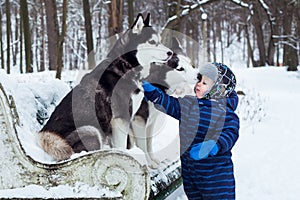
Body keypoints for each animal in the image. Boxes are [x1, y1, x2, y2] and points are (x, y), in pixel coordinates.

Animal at [37, 12, 173, 161]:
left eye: (160, 40)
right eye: (152, 42)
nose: (170, 53)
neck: (125, 66)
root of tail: (45, 135)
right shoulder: (121, 119)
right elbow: (124, 147)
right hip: (91, 131)